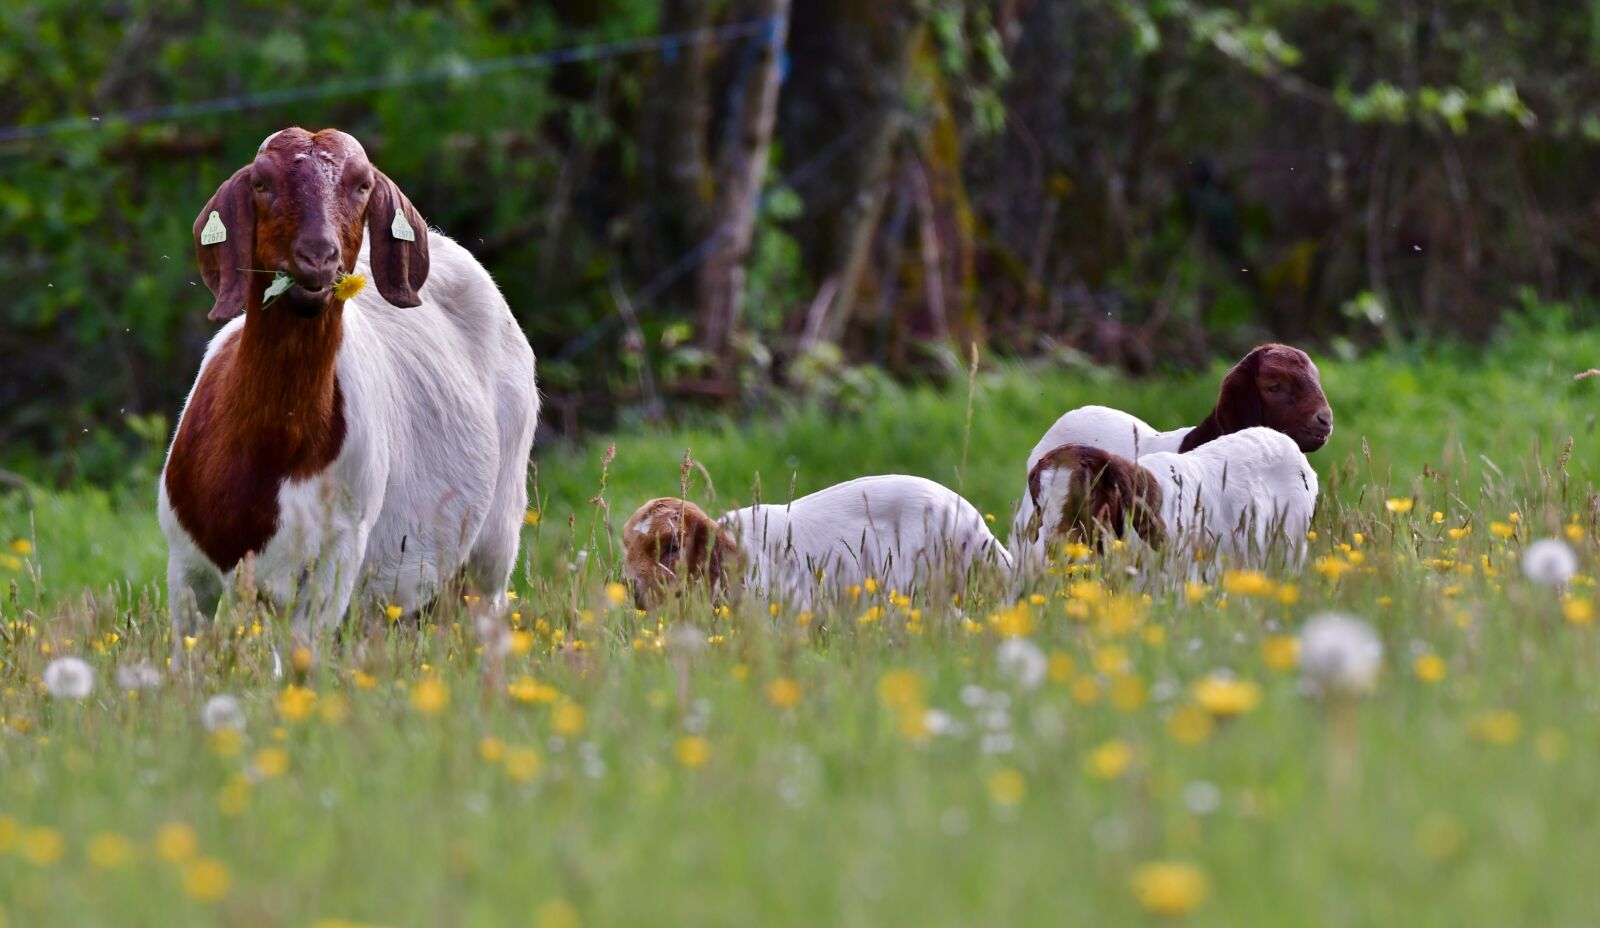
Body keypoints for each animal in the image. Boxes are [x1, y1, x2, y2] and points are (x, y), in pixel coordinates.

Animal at [159, 128, 538, 647]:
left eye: (362, 186)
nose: (319, 257)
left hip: (493, 541)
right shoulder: (185, 569)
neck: (269, 456)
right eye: (261, 183)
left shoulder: (335, 560)